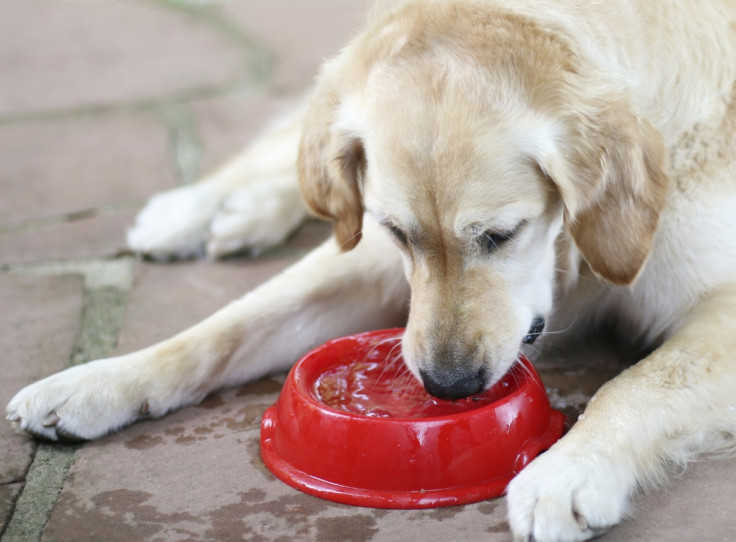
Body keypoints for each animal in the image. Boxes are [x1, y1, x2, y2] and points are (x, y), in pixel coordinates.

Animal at [7, 1, 736, 542]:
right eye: (398, 232)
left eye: (501, 235)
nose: (447, 386)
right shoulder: (371, 257)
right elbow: (222, 328)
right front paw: (95, 382)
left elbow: (637, 385)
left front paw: (568, 473)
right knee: (299, 149)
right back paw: (198, 209)